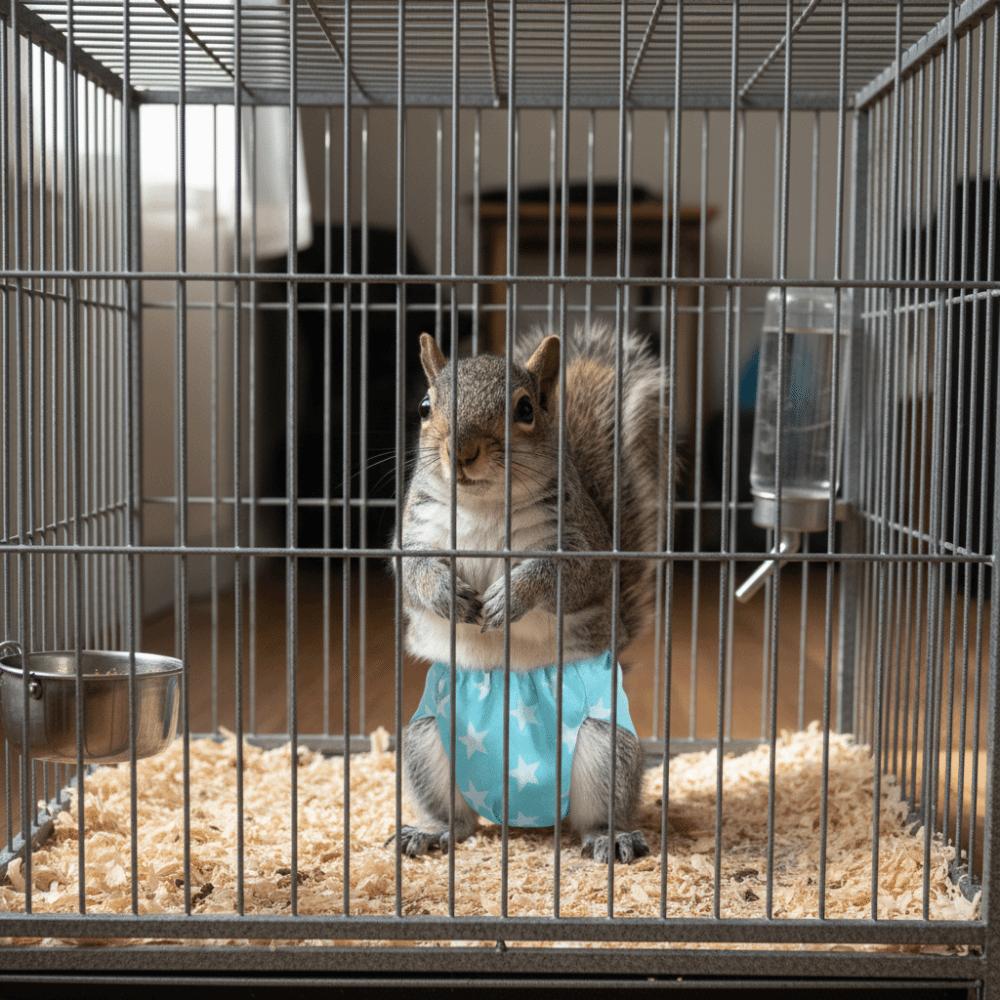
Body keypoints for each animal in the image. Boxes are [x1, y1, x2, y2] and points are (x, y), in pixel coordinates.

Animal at [395, 323, 665, 864]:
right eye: (425, 406)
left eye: (525, 409)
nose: (462, 451)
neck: (482, 506)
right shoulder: (415, 534)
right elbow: (413, 575)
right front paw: (444, 593)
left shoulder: (581, 547)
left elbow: (564, 577)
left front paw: (512, 595)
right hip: (428, 736)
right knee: (458, 820)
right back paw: (431, 830)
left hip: (603, 744)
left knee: (595, 814)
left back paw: (611, 837)